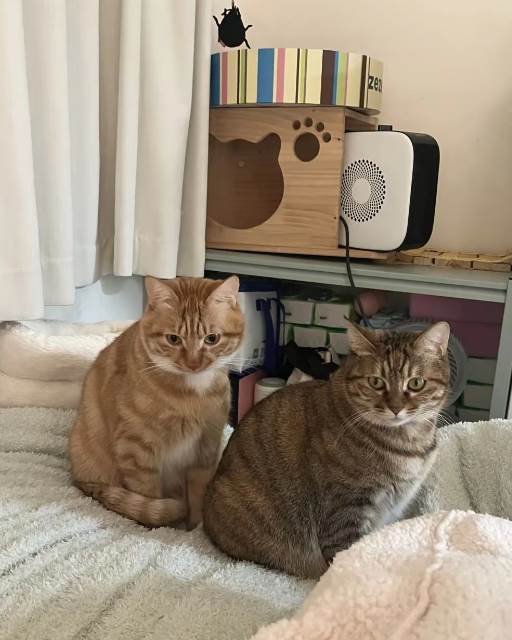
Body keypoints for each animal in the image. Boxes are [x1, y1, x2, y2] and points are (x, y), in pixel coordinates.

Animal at [69, 275, 244, 529]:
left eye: (212, 339)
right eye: (173, 339)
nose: (193, 364)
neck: (193, 393)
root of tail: (78, 478)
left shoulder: (205, 449)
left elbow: (198, 497)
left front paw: (195, 529)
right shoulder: (136, 449)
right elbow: (148, 497)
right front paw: (158, 528)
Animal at [203, 321, 450, 578]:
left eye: (416, 383)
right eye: (376, 382)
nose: (395, 408)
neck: (407, 442)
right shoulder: (347, 506)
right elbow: (347, 555)